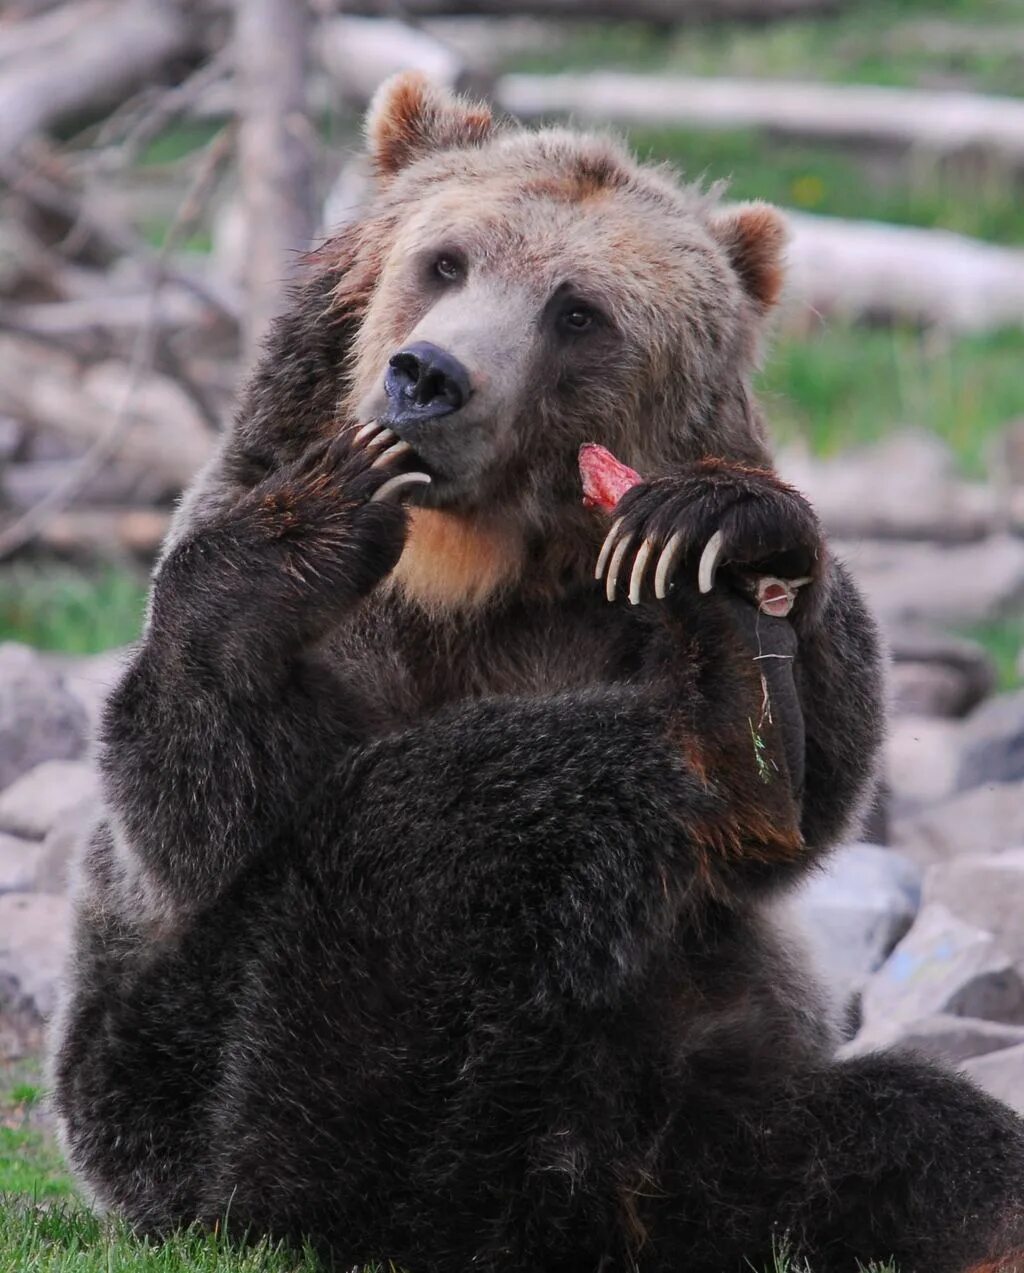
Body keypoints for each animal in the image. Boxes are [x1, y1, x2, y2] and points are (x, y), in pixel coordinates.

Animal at [49, 72, 1024, 1273]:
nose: (429, 376)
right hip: (200, 1107)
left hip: (723, 1107)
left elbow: (822, 798)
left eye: (578, 312)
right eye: (445, 260)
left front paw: (729, 537)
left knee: (919, 1136)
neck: (474, 567)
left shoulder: (598, 614)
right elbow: (190, 814)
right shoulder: (324, 628)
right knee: (419, 850)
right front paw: (310, 525)